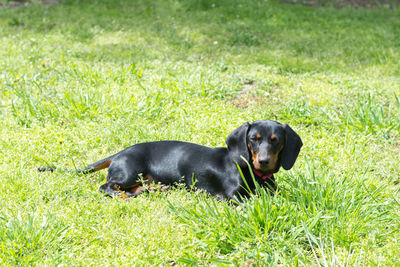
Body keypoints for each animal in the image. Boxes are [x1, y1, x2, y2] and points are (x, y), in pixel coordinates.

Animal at [39, 120, 304, 200]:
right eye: (253, 139)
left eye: (275, 140)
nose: (264, 162)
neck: (255, 174)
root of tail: (120, 152)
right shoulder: (231, 197)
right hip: (129, 171)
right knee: (107, 186)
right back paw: (122, 196)